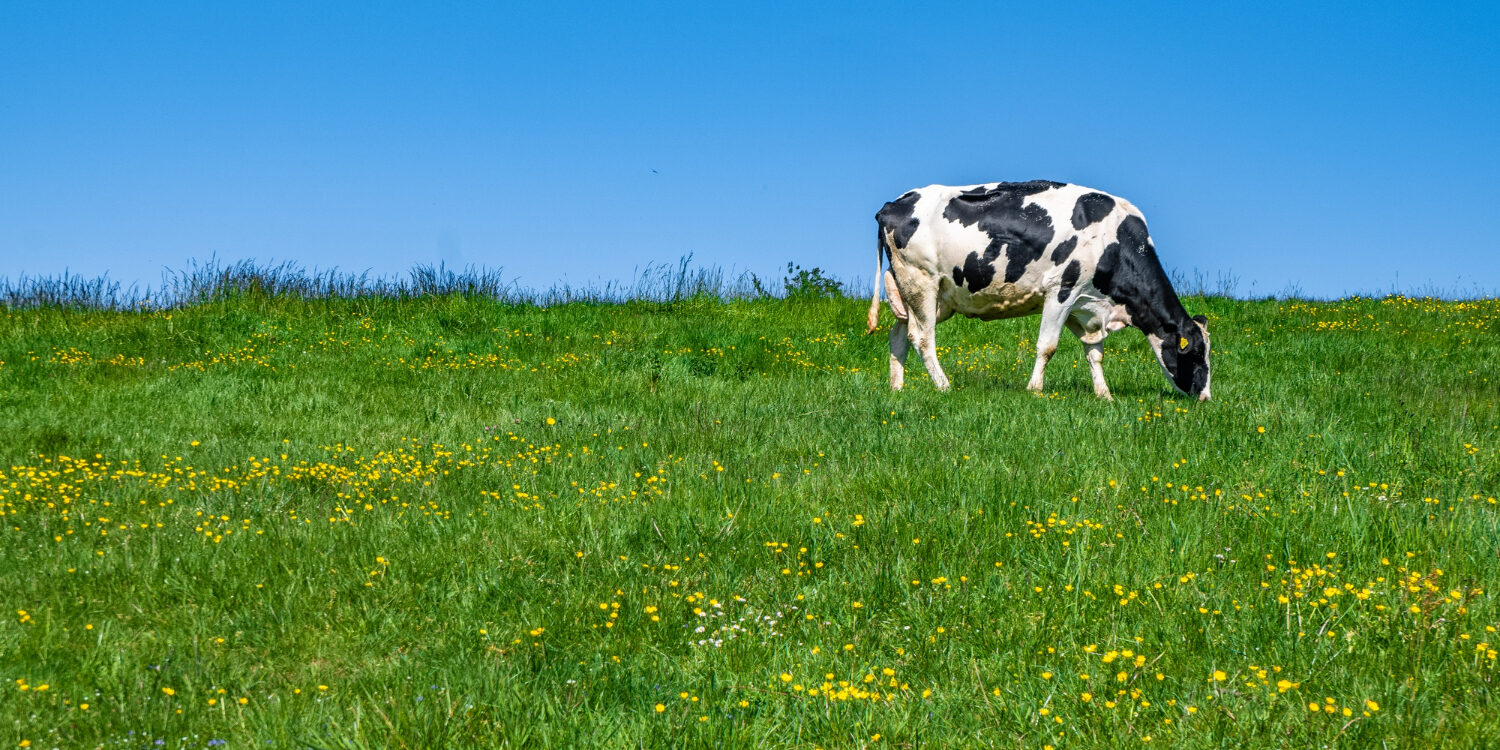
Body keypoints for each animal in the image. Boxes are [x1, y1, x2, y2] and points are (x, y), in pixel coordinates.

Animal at [868, 181, 1211, 400]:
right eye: (1196, 353)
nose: (1205, 397)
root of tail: (892, 204)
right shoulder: (1062, 289)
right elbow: (1047, 346)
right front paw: (1035, 390)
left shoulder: (1084, 306)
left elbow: (1094, 352)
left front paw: (1105, 395)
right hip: (920, 281)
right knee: (922, 337)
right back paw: (943, 385)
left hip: (925, 294)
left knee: (899, 334)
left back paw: (897, 387)